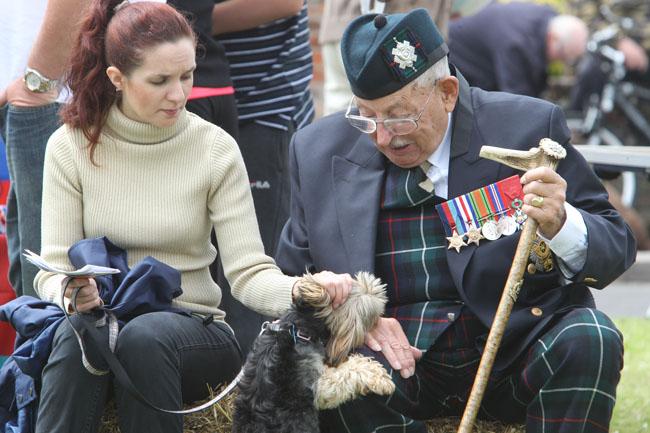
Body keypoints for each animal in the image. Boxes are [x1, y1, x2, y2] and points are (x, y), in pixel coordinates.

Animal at [233, 272, 394, 430]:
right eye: (373, 317)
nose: (379, 321)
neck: (299, 329)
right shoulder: (319, 385)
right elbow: (349, 370)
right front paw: (381, 377)